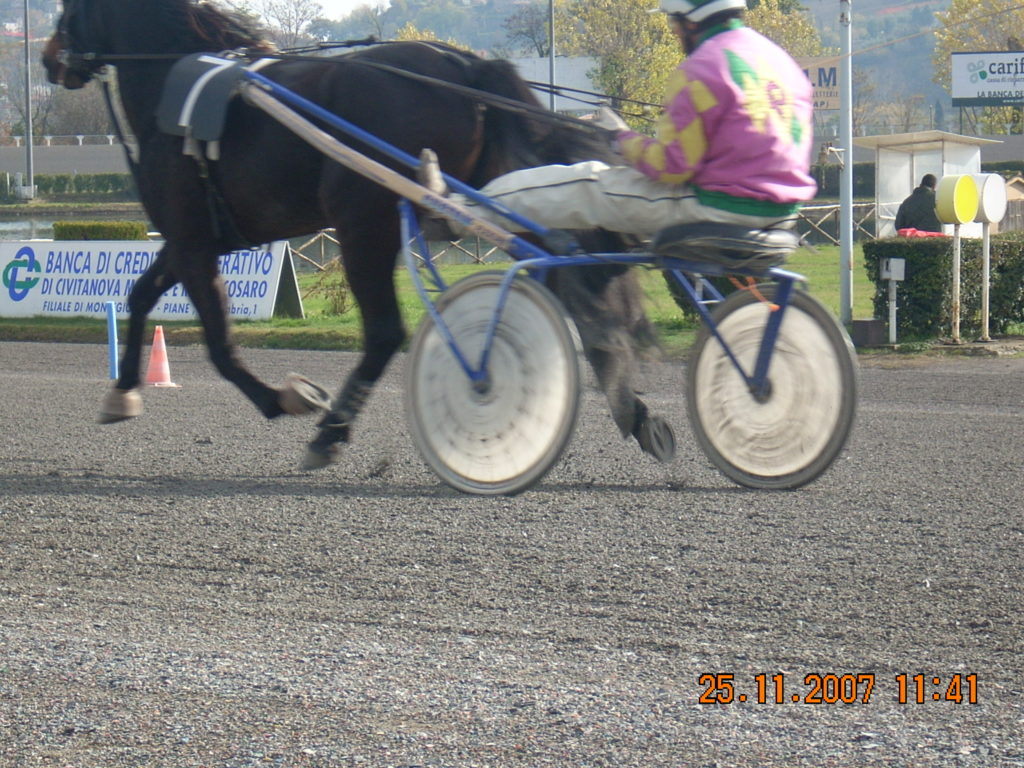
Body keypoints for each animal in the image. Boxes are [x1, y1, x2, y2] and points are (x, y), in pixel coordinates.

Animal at [41, 0, 671, 468]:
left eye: (69, 6)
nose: (50, 59)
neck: (177, 86)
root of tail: (464, 68)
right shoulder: (196, 238)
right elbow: (139, 295)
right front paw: (121, 391)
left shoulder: (194, 240)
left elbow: (220, 345)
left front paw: (284, 398)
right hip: (492, 192)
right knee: (571, 275)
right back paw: (635, 411)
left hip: (365, 220)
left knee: (386, 332)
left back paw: (332, 429)